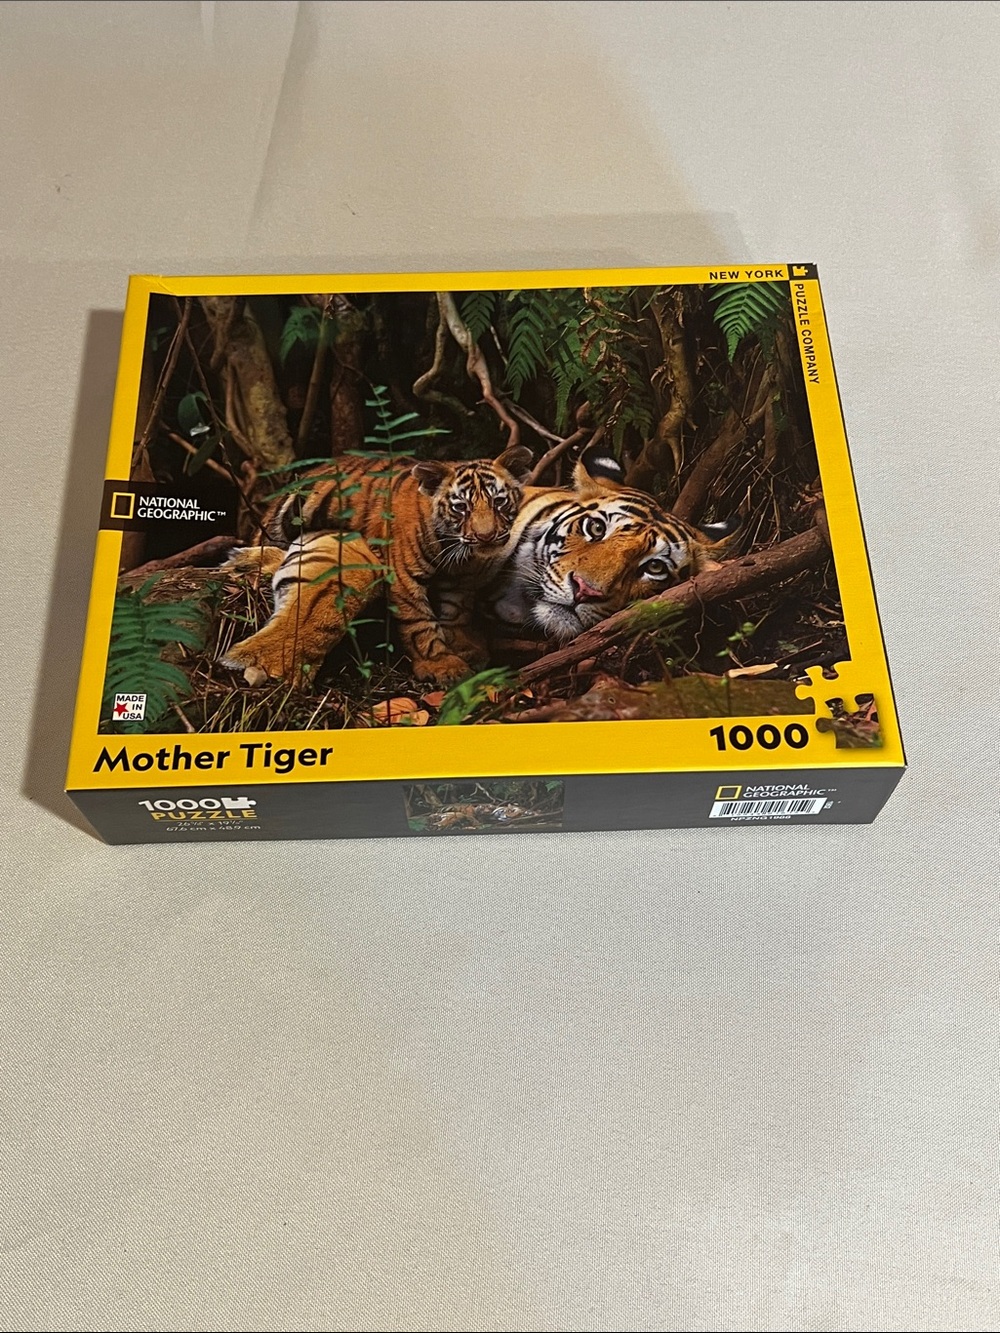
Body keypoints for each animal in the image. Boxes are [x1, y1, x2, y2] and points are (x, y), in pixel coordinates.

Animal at [246, 445, 532, 684]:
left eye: (499, 501)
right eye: (461, 507)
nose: (486, 536)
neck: (454, 548)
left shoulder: (458, 579)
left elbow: (456, 610)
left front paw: (464, 646)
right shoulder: (404, 577)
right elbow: (419, 623)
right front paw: (442, 665)